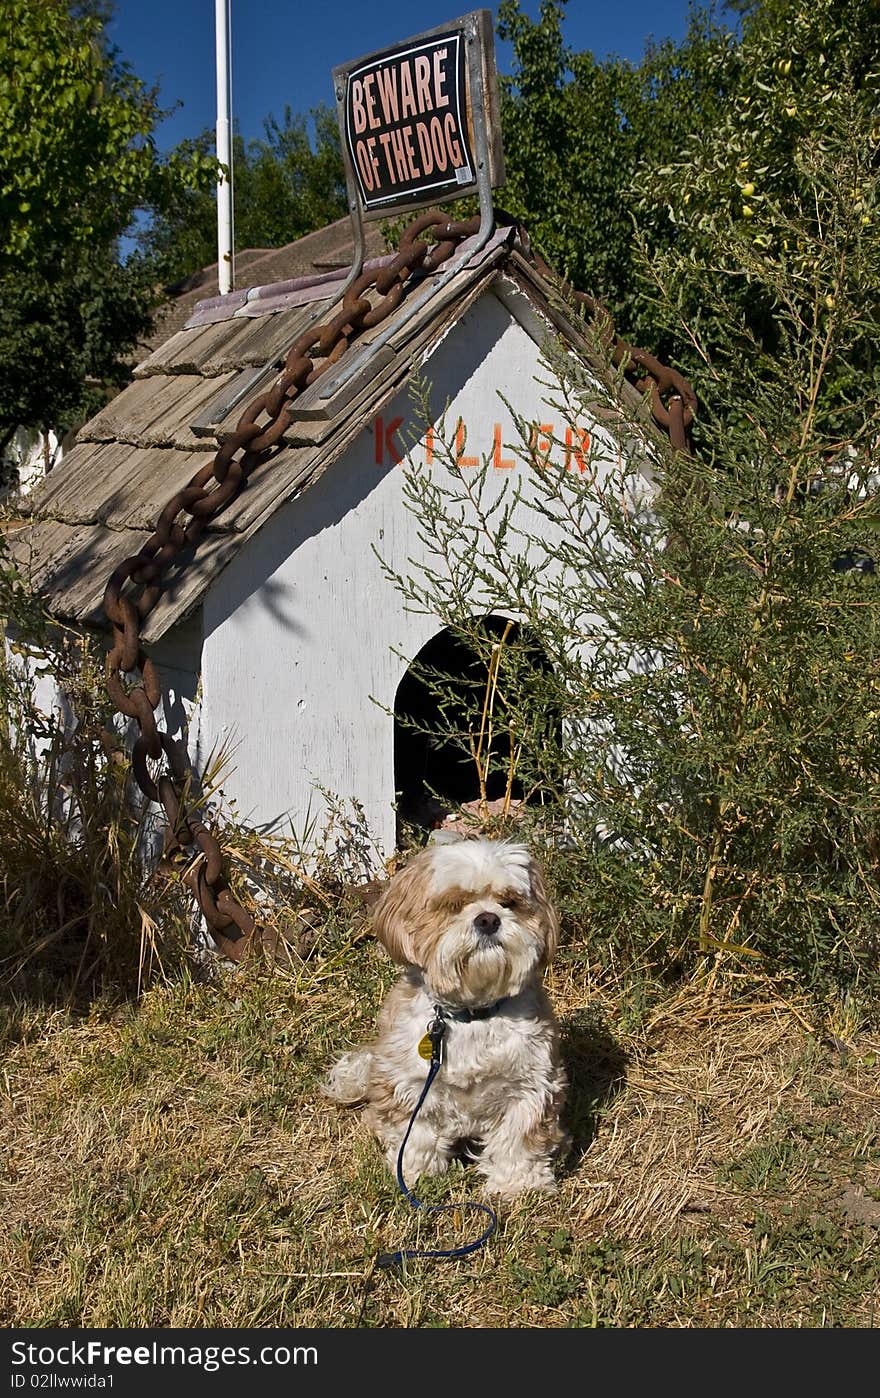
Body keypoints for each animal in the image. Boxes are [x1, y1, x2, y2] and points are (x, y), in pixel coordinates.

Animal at [325, 833, 565, 1196]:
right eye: (454, 905)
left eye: (509, 903)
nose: (488, 919)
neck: (472, 1014)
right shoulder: (411, 1084)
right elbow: (417, 1135)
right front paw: (415, 1174)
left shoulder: (530, 1085)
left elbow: (518, 1140)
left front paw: (518, 1186)